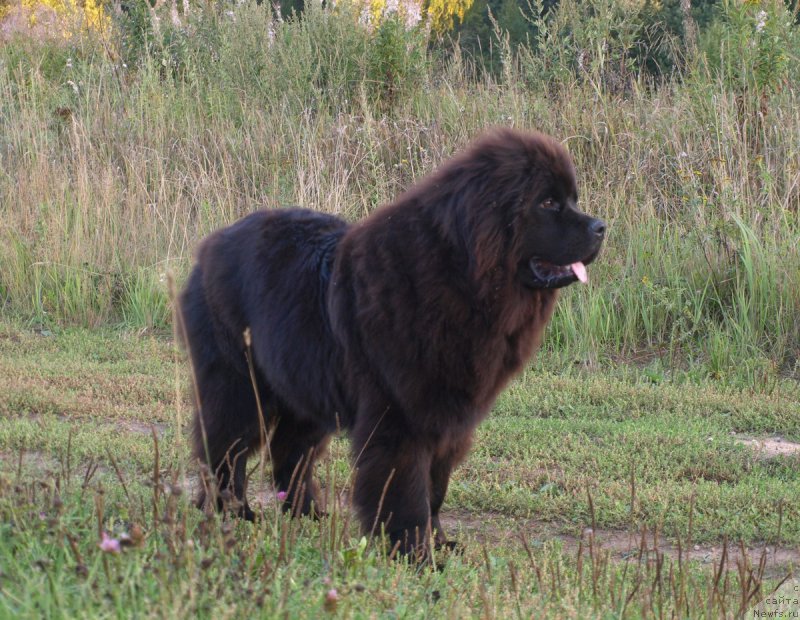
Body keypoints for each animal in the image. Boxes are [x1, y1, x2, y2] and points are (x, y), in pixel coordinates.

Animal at [181, 126, 604, 556]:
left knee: (291, 450)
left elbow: (435, 488)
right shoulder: (400, 416)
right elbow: (405, 491)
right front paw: (415, 553)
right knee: (224, 446)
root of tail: (212, 244)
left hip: (304, 385)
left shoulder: (448, 419)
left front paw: (440, 542)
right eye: (548, 202)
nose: (601, 226)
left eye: (572, 199)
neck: (461, 277)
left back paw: (305, 512)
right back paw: (230, 510)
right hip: (238, 384)